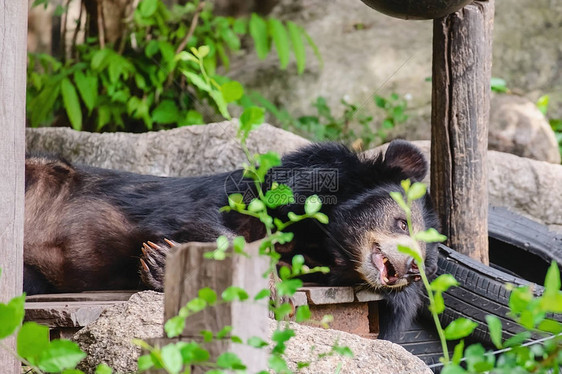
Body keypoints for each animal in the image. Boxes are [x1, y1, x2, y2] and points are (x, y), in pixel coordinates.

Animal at [25, 140, 438, 338]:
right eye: (402, 224)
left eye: (423, 265)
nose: (408, 269)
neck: (324, 235)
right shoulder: (288, 183)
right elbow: (200, 217)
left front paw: (161, 266)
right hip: (41, 173)